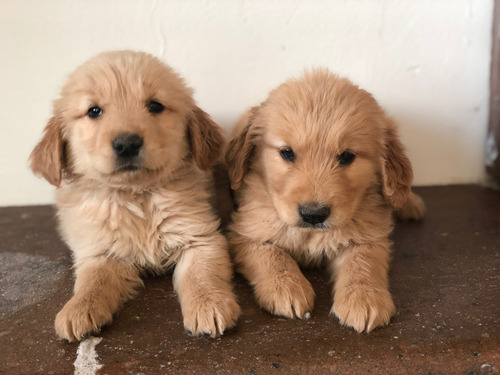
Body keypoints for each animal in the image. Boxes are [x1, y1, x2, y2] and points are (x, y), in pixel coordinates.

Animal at [29, 51, 240, 342]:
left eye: (155, 106)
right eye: (93, 111)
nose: (127, 144)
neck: (135, 196)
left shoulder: (200, 237)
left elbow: (201, 274)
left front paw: (209, 303)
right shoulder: (100, 250)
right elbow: (93, 280)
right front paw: (78, 308)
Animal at [227, 70, 426, 332]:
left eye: (347, 156)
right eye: (287, 152)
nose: (313, 214)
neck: (310, 234)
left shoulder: (370, 234)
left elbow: (363, 261)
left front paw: (364, 298)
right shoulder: (245, 232)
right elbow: (271, 255)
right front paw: (286, 288)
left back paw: (410, 203)